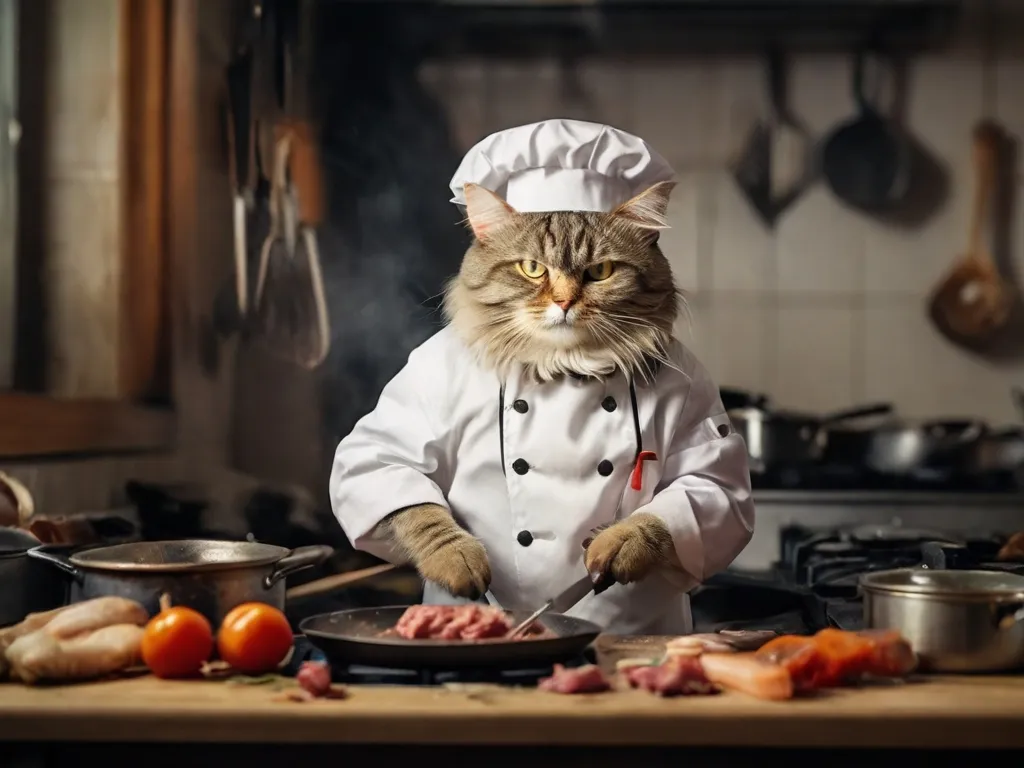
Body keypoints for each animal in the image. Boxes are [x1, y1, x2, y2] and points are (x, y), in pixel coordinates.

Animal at [372, 182, 684, 602]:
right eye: (532, 269)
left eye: (600, 272)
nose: (564, 302)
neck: (564, 369)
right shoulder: (380, 452)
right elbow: (420, 511)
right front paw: (456, 557)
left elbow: (664, 514)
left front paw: (623, 544)